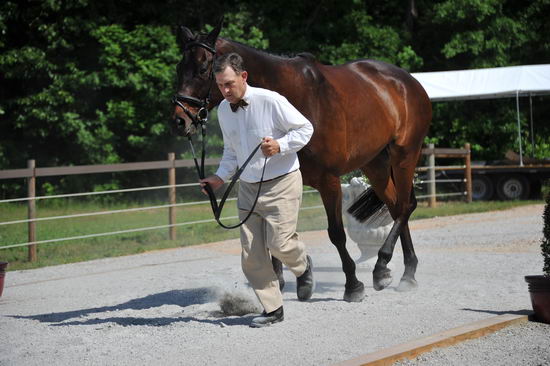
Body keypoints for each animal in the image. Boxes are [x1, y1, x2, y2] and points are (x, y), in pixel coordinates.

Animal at [170, 19, 434, 304]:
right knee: (397, 208)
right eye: (179, 67)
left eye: (202, 68)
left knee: (405, 206)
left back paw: (387, 267)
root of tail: (408, 81)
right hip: (375, 164)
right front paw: (286, 281)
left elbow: (336, 234)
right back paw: (401, 271)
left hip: (404, 155)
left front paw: (352, 285)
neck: (296, 97)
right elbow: (273, 234)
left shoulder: (329, 182)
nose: (179, 121)